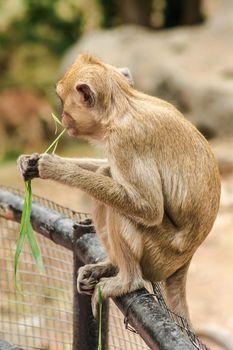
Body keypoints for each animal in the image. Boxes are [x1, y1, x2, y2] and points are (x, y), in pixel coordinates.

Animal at [17, 52, 220, 322]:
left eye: (62, 101)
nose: (63, 118)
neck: (122, 107)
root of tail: (186, 259)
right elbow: (106, 166)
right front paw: (31, 161)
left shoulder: (126, 141)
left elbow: (148, 208)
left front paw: (54, 168)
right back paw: (110, 267)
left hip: (160, 255)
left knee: (121, 204)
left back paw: (128, 280)